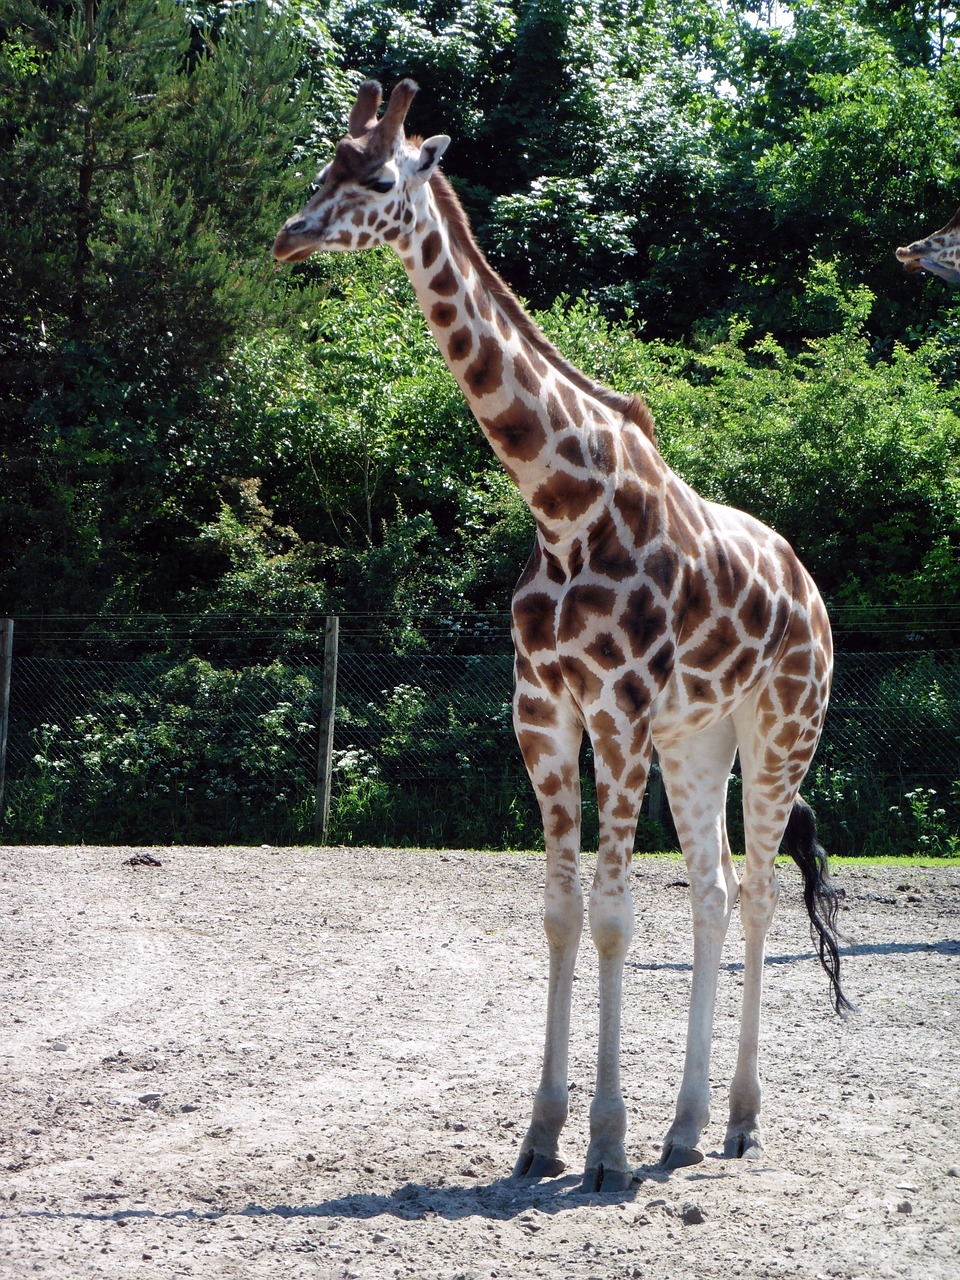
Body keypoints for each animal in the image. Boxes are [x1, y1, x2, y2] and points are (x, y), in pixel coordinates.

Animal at [273, 85, 855, 1192]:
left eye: (378, 176)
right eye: (322, 165)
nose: (290, 235)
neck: (559, 505)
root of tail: (810, 587)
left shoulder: (617, 708)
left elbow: (617, 916)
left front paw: (606, 1144)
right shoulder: (542, 711)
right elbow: (560, 912)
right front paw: (543, 1134)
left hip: (781, 728)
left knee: (761, 892)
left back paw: (740, 1120)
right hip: (698, 738)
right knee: (715, 892)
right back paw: (687, 1126)